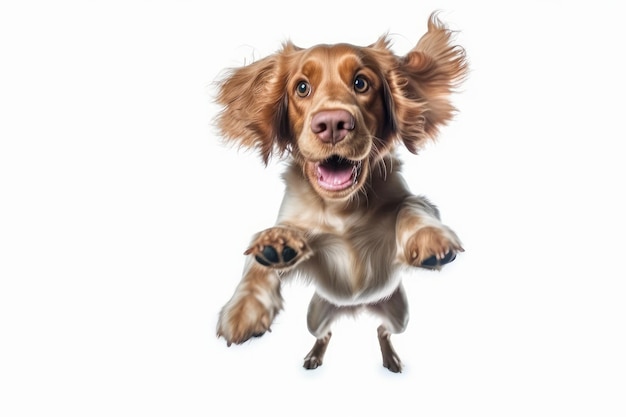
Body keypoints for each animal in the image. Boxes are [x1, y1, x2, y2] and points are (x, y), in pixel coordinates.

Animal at [213, 13, 464, 372]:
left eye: (361, 83)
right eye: (302, 87)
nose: (332, 124)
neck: (342, 207)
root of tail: (354, 306)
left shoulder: (407, 209)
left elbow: (412, 207)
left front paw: (428, 238)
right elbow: (259, 260)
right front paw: (247, 303)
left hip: (399, 314)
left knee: (383, 330)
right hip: (315, 315)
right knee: (326, 333)